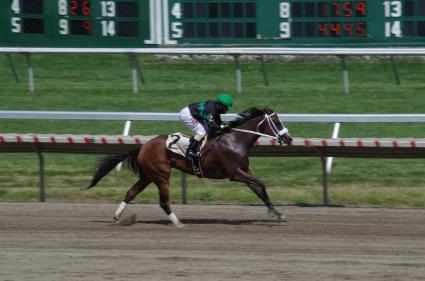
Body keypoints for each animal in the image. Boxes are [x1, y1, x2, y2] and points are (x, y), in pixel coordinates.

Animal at [86, 106, 292, 226]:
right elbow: (261, 184)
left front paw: (277, 213)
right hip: (161, 175)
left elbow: (259, 190)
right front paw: (274, 213)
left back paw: (117, 217)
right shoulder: (235, 173)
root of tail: (143, 146)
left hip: (148, 175)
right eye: (276, 121)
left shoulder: (244, 171)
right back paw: (178, 222)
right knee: (163, 201)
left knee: (131, 193)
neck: (235, 140)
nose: (289, 139)